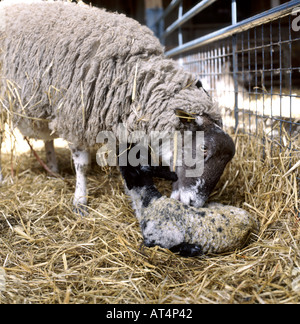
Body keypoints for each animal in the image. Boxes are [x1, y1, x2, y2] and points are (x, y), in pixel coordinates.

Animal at [0, 0, 234, 215]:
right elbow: (82, 165)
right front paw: (80, 200)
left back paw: (53, 168)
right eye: (204, 149)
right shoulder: (74, 118)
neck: (133, 78)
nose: (194, 203)